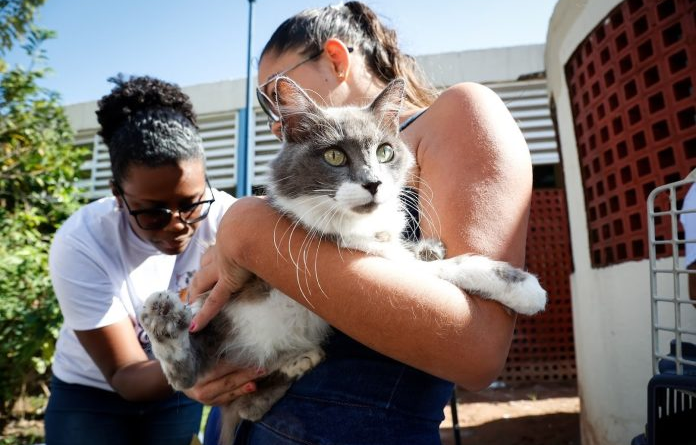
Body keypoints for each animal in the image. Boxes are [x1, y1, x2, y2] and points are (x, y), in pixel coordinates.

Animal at [139, 75, 548, 438]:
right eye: (334, 155)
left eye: (385, 151)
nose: (373, 183)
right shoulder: (353, 248)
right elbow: (443, 267)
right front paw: (523, 288)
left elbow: (415, 252)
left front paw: (429, 247)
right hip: (211, 316)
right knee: (188, 375)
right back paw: (164, 321)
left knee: (250, 404)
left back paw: (296, 362)